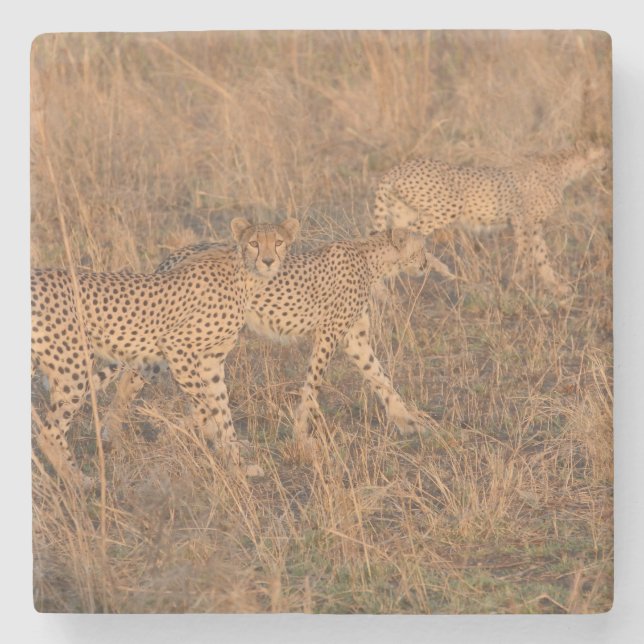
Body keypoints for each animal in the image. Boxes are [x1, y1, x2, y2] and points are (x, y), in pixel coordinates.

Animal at [30, 217, 300, 487]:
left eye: (278, 242)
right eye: (254, 243)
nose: (268, 261)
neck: (245, 275)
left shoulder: (211, 363)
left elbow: (223, 412)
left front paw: (238, 464)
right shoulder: (176, 346)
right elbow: (207, 410)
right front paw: (221, 451)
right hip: (75, 364)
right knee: (49, 432)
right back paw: (81, 481)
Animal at [99, 228, 431, 450]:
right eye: (422, 248)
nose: (427, 263)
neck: (370, 256)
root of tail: (177, 254)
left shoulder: (354, 339)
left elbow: (381, 378)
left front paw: (408, 420)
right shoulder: (328, 335)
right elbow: (313, 385)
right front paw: (302, 433)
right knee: (130, 379)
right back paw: (113, 434)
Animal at [373, 142, 609, 297]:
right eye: (603, 155)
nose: (607, 165)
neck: (565, 166)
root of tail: (396, 169)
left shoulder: (533, 225)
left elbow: (541, 256)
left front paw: (556, 287)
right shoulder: (522, 220)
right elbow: (526, 252)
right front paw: (518, 279)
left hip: (403, 212)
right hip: (449, 206)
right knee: (411, 237)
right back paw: (436, 267)